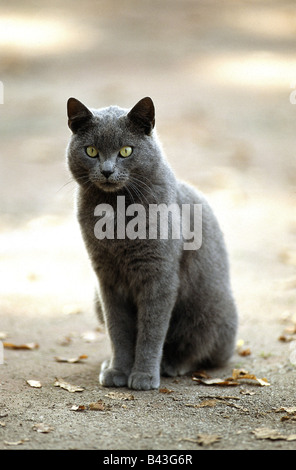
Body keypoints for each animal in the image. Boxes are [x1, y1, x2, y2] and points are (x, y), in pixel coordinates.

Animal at [66, 95, 237, 390]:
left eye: (126, 151)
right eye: (91, 151)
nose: (107, 171)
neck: (116, 213)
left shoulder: (159, 275)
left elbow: (151, 331)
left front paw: (144, 375)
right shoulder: (106, 278)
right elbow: (118, 330)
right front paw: (118, 371)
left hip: (207, 309)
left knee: (201, 350)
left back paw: (171, 365)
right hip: (96, 298)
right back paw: (108, 364)